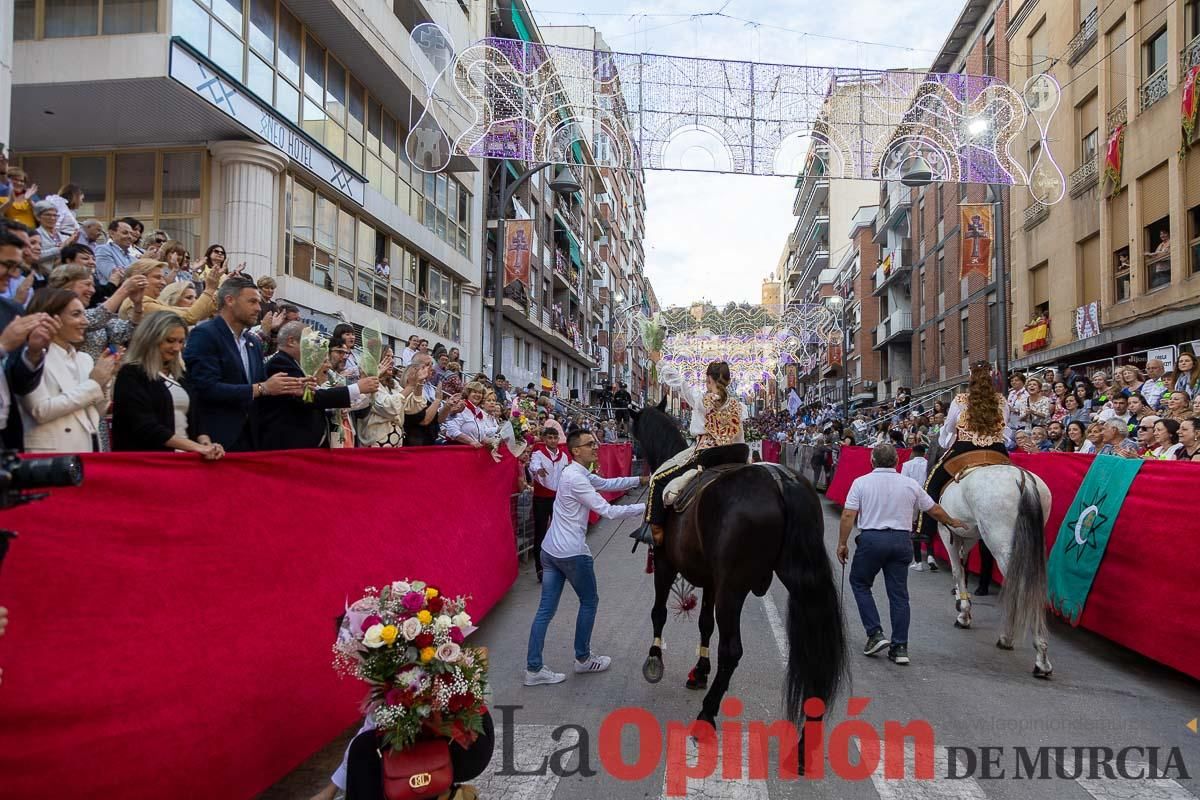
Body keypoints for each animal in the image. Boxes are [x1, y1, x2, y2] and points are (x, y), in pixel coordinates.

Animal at [628, 400, 844, 734]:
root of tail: (780, 482)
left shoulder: (665, 564)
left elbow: (659, 612)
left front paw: (655, 660)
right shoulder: (710, 580)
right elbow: (705, 623)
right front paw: (699, 671)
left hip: (733, 588)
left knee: (731, 650)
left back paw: (707, 714)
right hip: (799, 582)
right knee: (814, 649)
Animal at [936, 465, 1051, 681]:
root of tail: (1023, 479)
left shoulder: (948, 532)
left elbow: (957, 570)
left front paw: (963, 613)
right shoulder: (970, 535)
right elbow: (963, 566)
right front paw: (963, 605)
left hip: (1001, 543)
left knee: (1019, 589)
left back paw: (1036, 657)